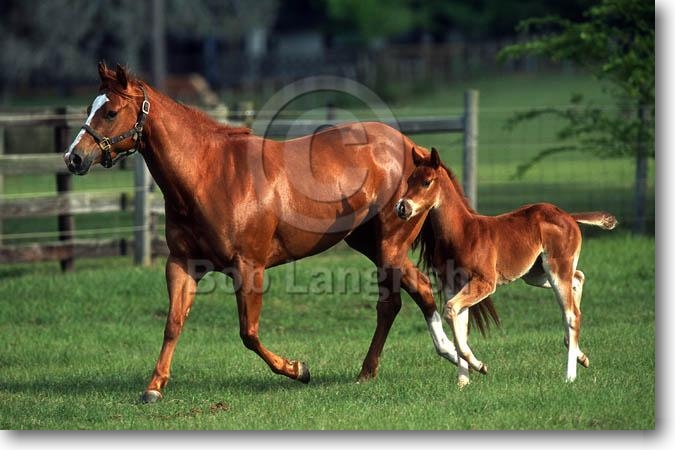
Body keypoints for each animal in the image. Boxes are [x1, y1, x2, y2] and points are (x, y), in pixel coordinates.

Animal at [63, 63, 498, 402]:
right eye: (90, 108)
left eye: (111, 111)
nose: (74, 158)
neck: (209, 174)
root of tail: (413, 151)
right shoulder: (183, 264)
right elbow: (173, 323)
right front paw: (153, 387)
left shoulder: (248, 268)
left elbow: (249, 333)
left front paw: (299, 369)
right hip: (369, 244)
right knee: (405, 298)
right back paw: (387, 370)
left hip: (390, 245)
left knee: (409, 295)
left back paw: (457, 361)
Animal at [395, 147, 616, 384]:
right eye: (409, 180)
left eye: (426, 182)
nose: (402, 207)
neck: (462, 232)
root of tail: (569, 215)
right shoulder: (452, 285)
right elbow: (458, 323)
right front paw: (463, 382)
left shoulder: (485, 282)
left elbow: (451, 311)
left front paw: (479, 366)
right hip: (536, 274)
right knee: (578, 278)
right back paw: (581, 356)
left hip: (556, 269)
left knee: (572, 314)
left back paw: (570, 375)